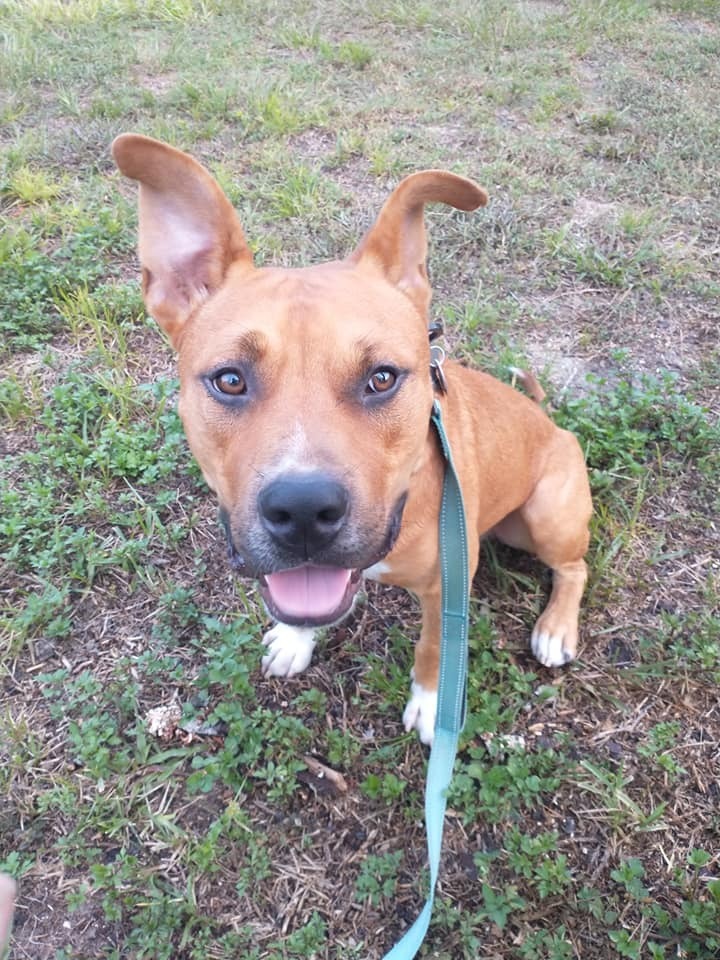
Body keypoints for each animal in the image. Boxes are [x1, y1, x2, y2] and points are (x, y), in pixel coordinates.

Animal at [112, 133, 592, 744]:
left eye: (382, 378)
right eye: (230, 380)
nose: (302, 510)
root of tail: (550, 420)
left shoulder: (447, 586)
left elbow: (436, 647)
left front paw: (432, 703)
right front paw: (296, 640)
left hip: (546, 516)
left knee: (574, 567)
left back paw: (556, 628)